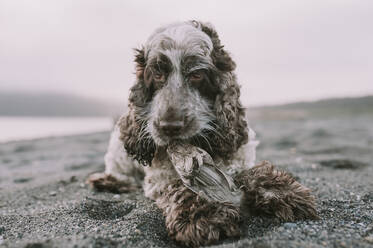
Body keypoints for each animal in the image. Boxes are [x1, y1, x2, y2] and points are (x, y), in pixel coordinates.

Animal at [87, 21, 316, 248]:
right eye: (158, 74)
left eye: (196, 75)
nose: (169, 126)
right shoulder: (160, 178)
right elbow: (180, 185)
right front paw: (205, 215)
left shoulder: (239, 157)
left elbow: (247, 173)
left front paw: (282, 192)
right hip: (117, 147)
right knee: (121, 171)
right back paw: (109, 181)